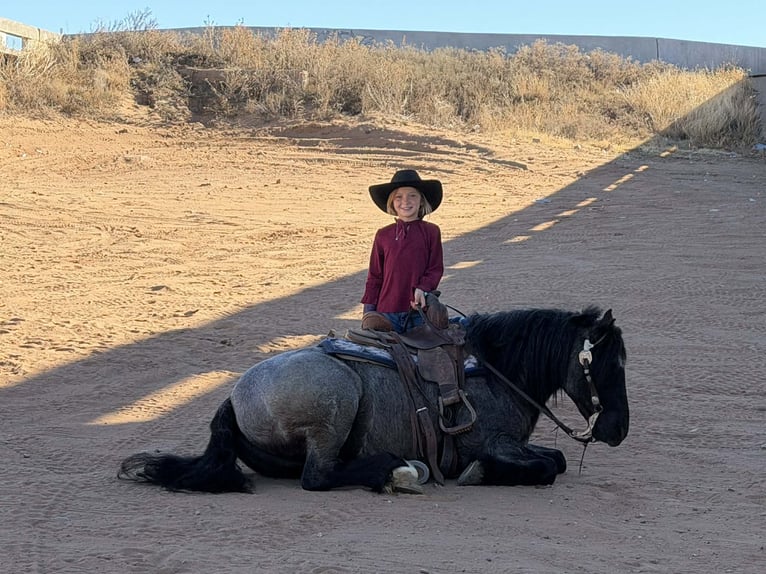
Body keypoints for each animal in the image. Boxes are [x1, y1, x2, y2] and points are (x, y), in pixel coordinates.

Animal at [119, 306, 628, 494]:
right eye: (610, 364)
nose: (618, 429)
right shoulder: (494, 443)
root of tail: (233, 395)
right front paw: (480, 473)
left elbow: (556, 458)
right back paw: (394, 470)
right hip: (337, 403)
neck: (494, 366)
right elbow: (546, 466)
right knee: (317, 478)